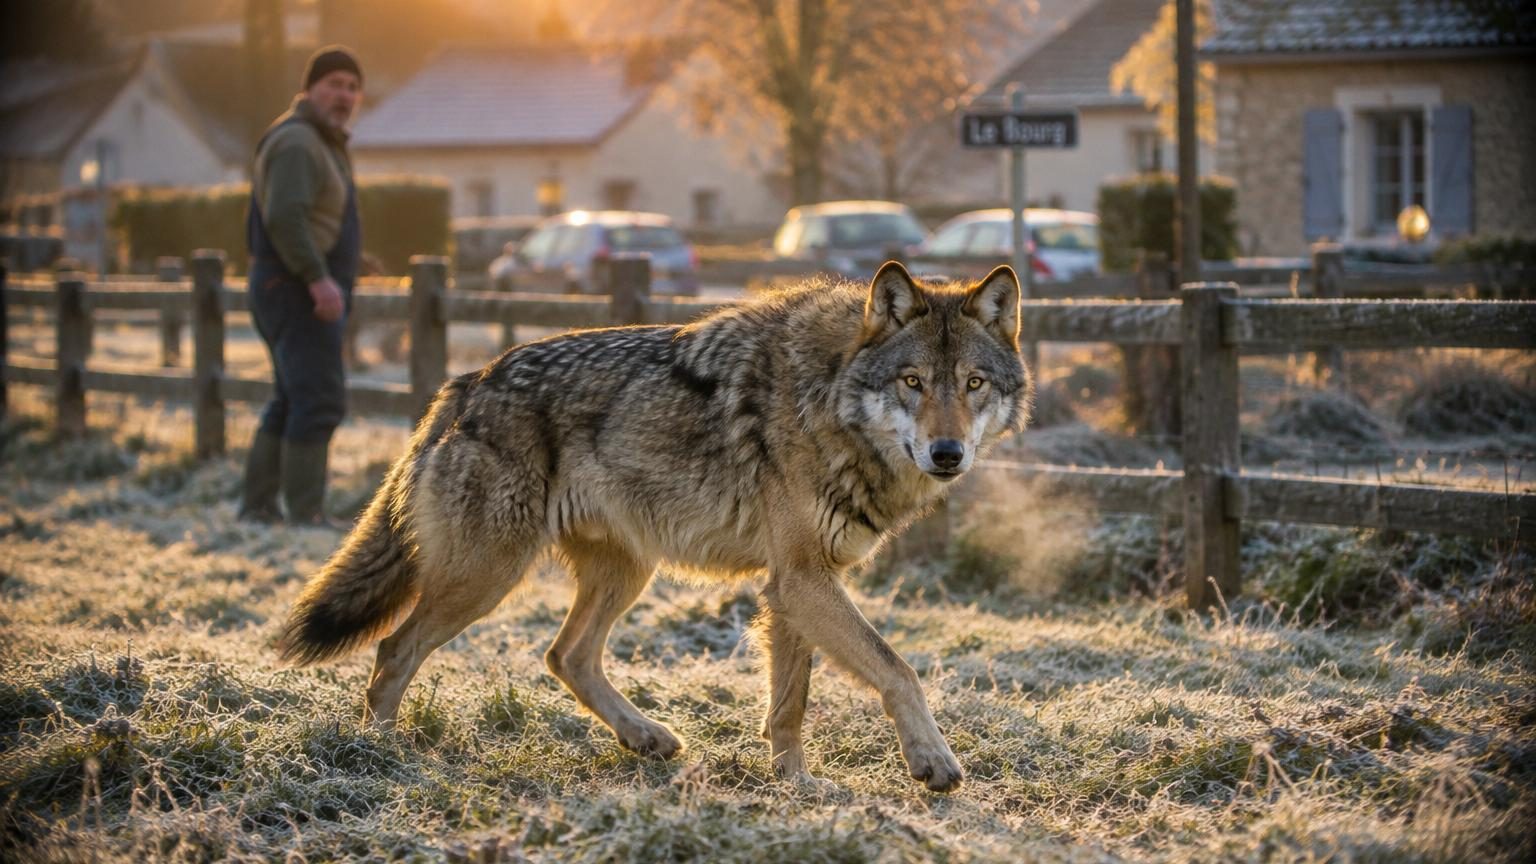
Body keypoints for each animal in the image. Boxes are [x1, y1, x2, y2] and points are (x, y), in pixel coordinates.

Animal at [276, 261, 1031, 792]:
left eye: (973, 384)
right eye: (912, 382)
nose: (947, 453)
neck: (828, 397)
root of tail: (465, 382)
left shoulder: (794, 586)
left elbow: (790, 703)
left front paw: (796, 784)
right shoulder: (802, 582)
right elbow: (898, 668)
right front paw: (932, 761)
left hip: (625, 572)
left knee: (566, 656)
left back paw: (647, 738)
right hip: (487, 579)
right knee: (394, 651)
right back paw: (379, 755)